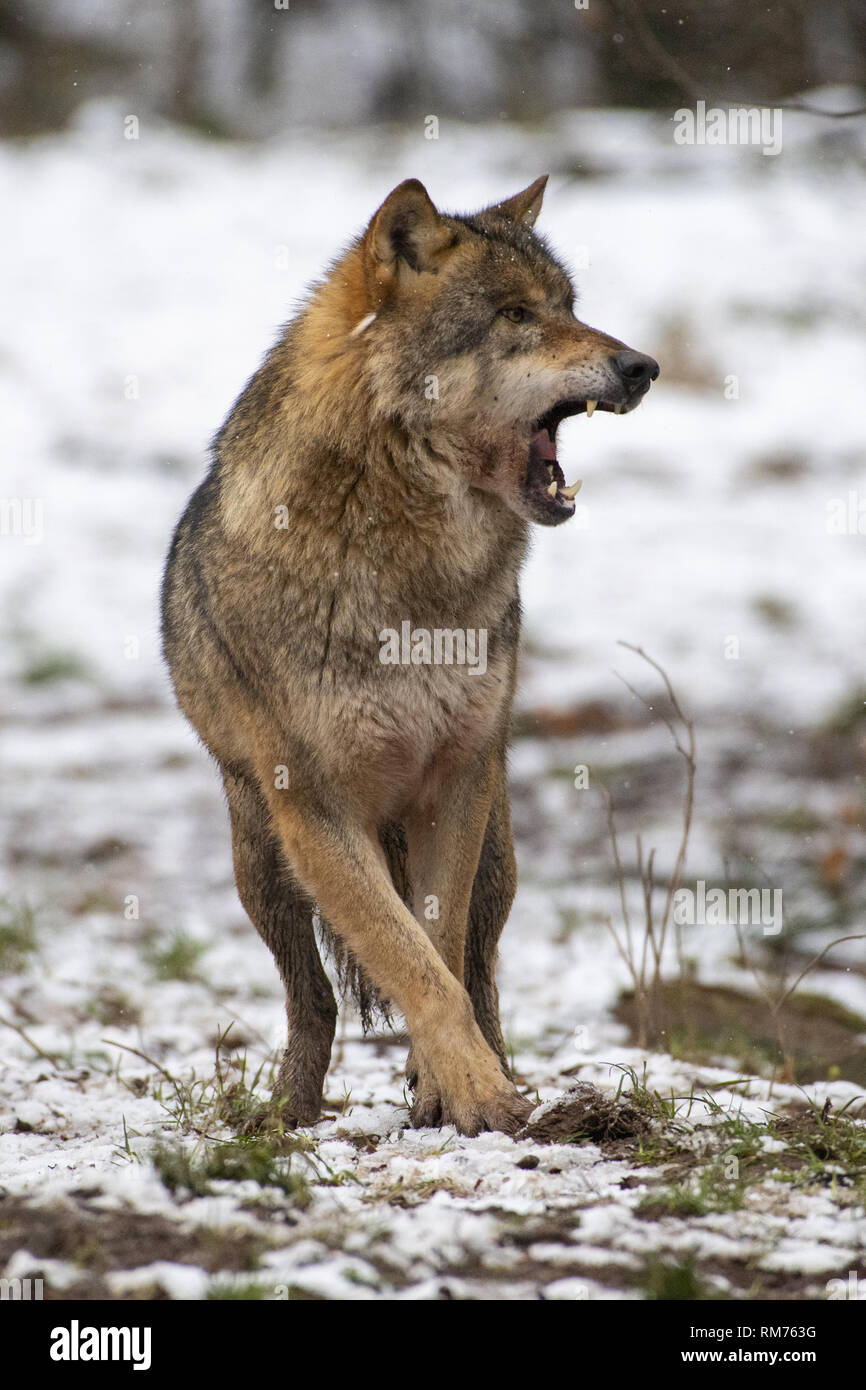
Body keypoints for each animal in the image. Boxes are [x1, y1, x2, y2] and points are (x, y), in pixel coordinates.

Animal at [161, 173, 656, 1134]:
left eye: (570, 309)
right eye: (514, 315)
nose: (642, 367)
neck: (412, 573)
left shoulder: (455, 781)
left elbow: (438, 951)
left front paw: (450, 1088)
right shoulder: (318, 813)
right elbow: (408, 965)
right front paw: (472, 1094)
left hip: (498, 854)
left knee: (482, 966)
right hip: (262, 865)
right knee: (312, 997)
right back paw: (289, 1113)